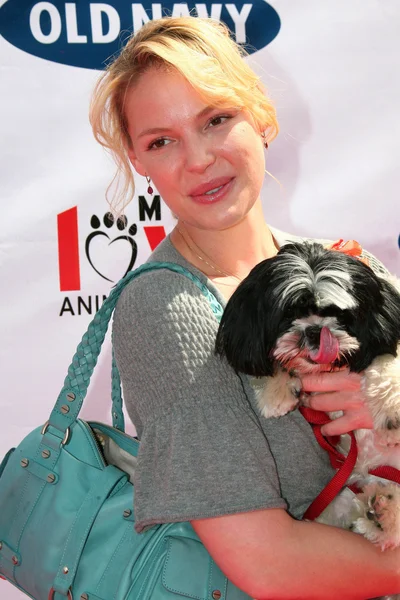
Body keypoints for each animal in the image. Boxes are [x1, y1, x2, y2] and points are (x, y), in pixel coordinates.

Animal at [216, 241, 400, 556]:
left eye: (340, 315)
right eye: (289, 314)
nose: (314, 331)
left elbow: (387, 361)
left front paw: (391, 409)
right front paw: (277, 391)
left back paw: (386, 514)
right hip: (344, 496)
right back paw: (379, 515)